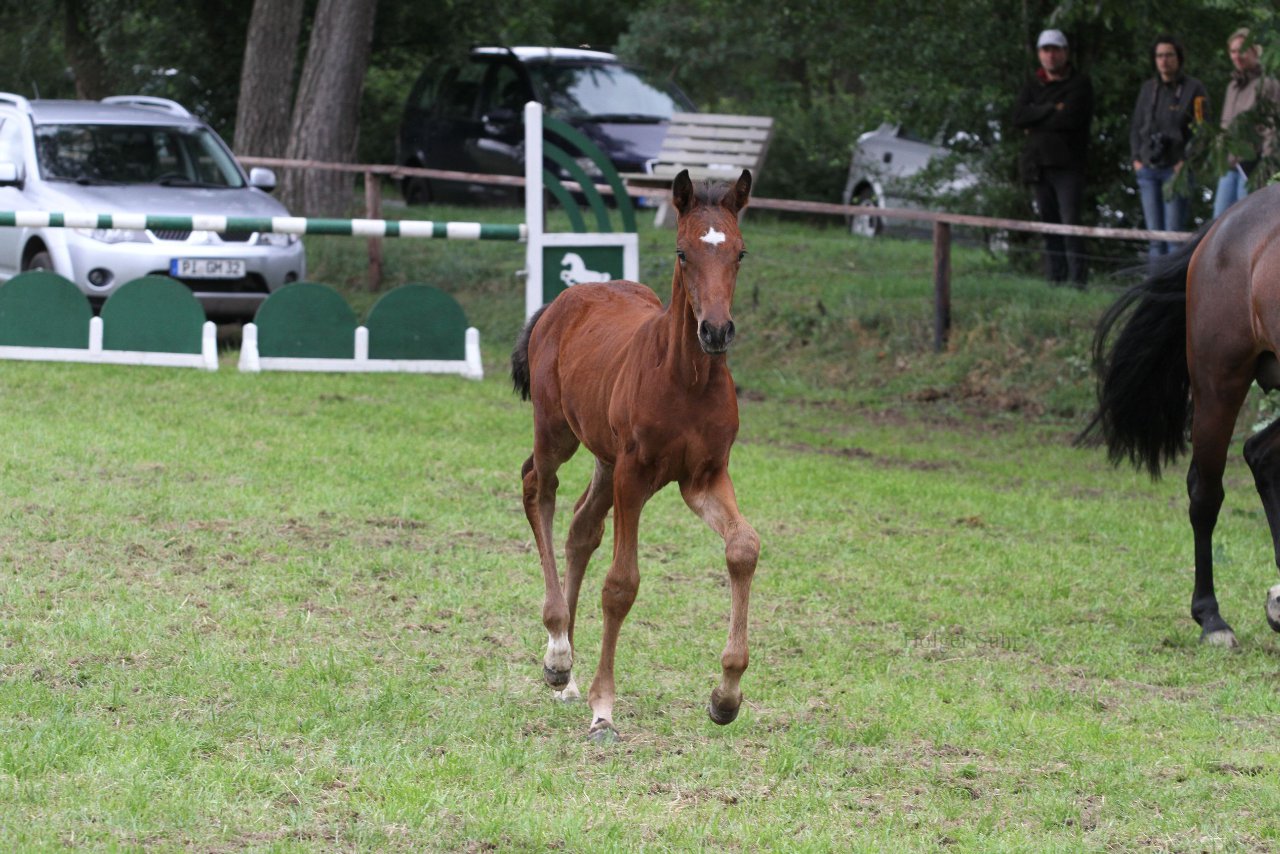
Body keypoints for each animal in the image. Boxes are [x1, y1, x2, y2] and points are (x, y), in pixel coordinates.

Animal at [506, 169, 752, 742]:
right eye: (683, 252)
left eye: (740, 253)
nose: (716, 330)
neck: (687, 380)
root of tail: (563, 299)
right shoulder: (635, 476)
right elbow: (621, 585)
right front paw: (604, 709)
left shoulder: (704, 477)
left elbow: (743, 548)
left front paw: (725, 696)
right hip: (557, 434)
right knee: (538, 489)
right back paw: (557, 651)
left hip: (603, 457)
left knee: (580, 528)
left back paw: (567, 673)